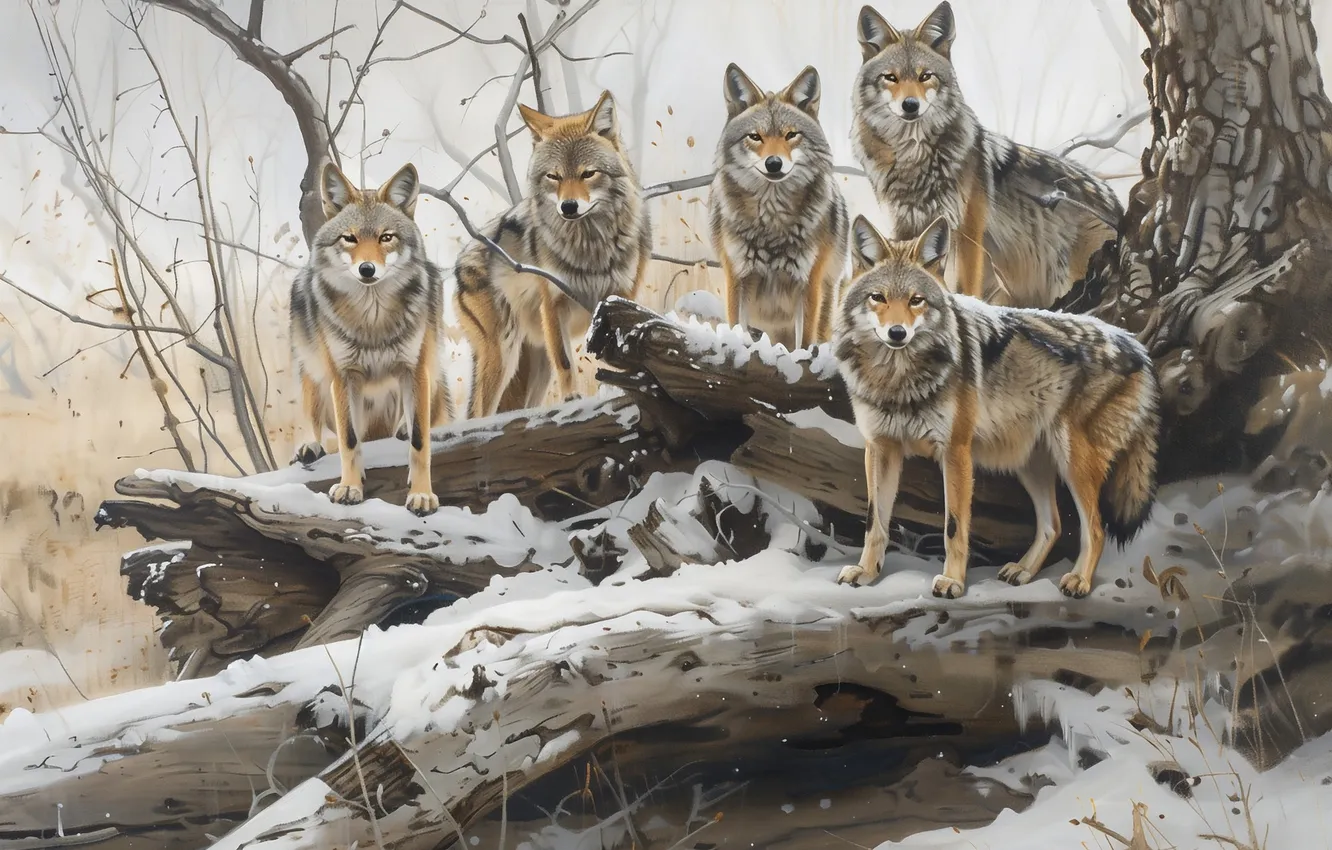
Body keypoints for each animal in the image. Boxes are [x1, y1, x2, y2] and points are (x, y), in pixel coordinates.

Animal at [289, 161, 450, 517]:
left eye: (385, 237)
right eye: (349, 238)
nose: (367, 269)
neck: (373, 320)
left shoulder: (415, 369)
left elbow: (420, 442)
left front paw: (422, 494)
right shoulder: (343, 376)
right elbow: (349, 440)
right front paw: (350, 487)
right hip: (313, 367)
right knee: (314, 411)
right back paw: (310, 444)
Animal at [455, 91, 651, 418]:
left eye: (588, 174)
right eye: (553, 177)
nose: (568, 207)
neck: (590, 247)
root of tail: (459, 266)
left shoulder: (621, 299)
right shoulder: (554, 304)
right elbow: (566, 361)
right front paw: (572, 398)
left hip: (534, 365)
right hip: (504, 354)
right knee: (480, 413)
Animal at [708, 63, 849, 350]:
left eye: (791, 135)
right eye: (755, 137)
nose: (774, 163)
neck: (771, 219)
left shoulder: (808, 282)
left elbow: (804, 343)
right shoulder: (736, 277)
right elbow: (736, 327)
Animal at [833, 215, 1160, 599]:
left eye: (916, 300)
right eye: (878, 298)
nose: (897, 333)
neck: (898, 380)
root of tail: (1138, 347)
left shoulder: (956, 452)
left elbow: (954, 527)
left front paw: (953, 582)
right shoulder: (880, 449)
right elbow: (875, 522)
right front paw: (866, 572)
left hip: (1074, 461)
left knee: (1095, 528)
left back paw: (1078, 581)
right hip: (1031, 465)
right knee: (1053, 524)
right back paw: (1023, 571)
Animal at [852, 1, 1123, 308]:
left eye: (925, 76)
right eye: (891, 77)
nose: (910, 105)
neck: (913, 156)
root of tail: (1119, 209)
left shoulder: (969, 234)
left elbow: (966, 287)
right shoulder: (905, 228)